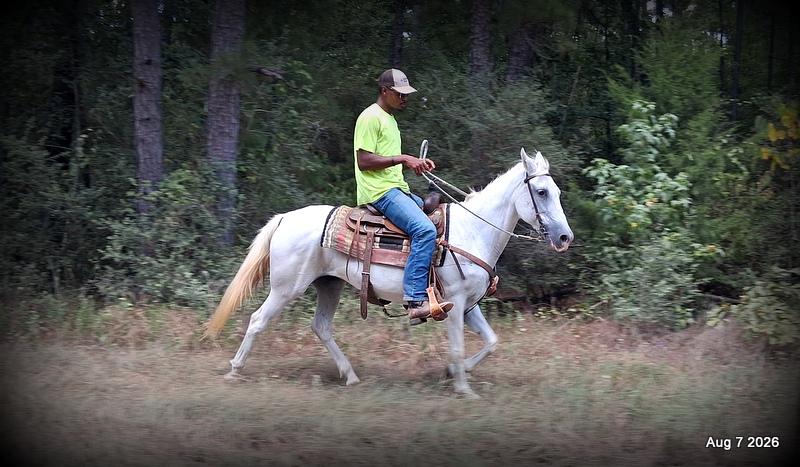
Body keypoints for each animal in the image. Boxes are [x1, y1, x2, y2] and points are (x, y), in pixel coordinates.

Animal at [204, 148, 574, 397]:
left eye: (557, 192)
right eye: (541, 192)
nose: (565, 237)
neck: (473, 231)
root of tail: (285, 218)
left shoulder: (470, 305)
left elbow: (492, 341)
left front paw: (453, 372)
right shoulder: (454, 303)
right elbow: (457, 346)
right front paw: (463, 388)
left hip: (329, 285)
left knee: (320, 327)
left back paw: (350, 375)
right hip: (286, 288)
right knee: (258, 320)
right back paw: (235, 371)